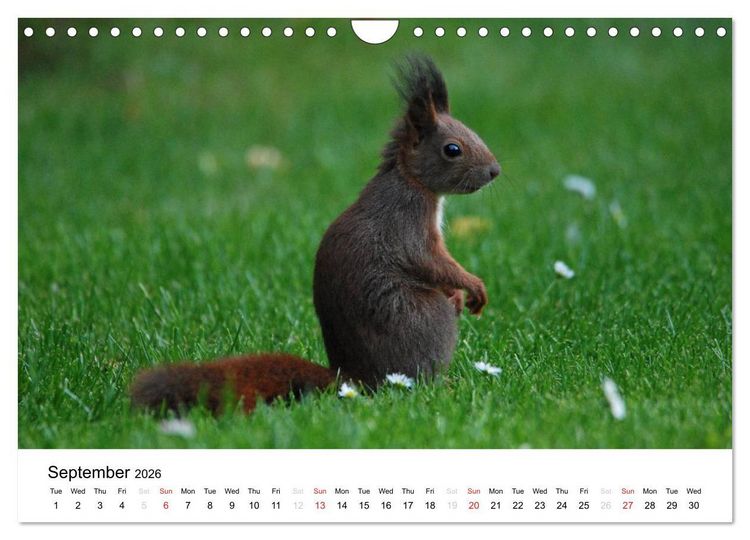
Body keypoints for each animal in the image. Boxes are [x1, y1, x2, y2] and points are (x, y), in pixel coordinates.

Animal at [130, 55, 500, 413]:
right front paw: (472, 286)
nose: (495, 171)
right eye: (452, 149)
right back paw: (444, 385)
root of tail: (357, 379)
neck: (411, 180)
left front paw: (459, 293)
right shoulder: (408, 221)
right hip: (427, 320)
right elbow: (430, 261)